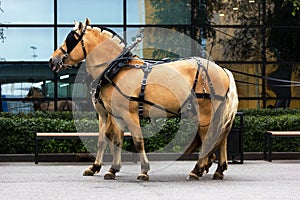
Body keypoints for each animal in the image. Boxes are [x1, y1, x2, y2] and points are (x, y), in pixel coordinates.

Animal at [48, 18, 238, 181]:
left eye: (70, 39)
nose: (52, 60)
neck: (116, 69)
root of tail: (222, 70)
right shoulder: (114, 115)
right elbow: (113, 139)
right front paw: (111, 169)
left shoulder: (128, 114)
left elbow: (137, 141)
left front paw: (144, 170)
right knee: (219, 137)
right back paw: (216, 169)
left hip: (206, 112)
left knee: (210, 137)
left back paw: (197, 169)